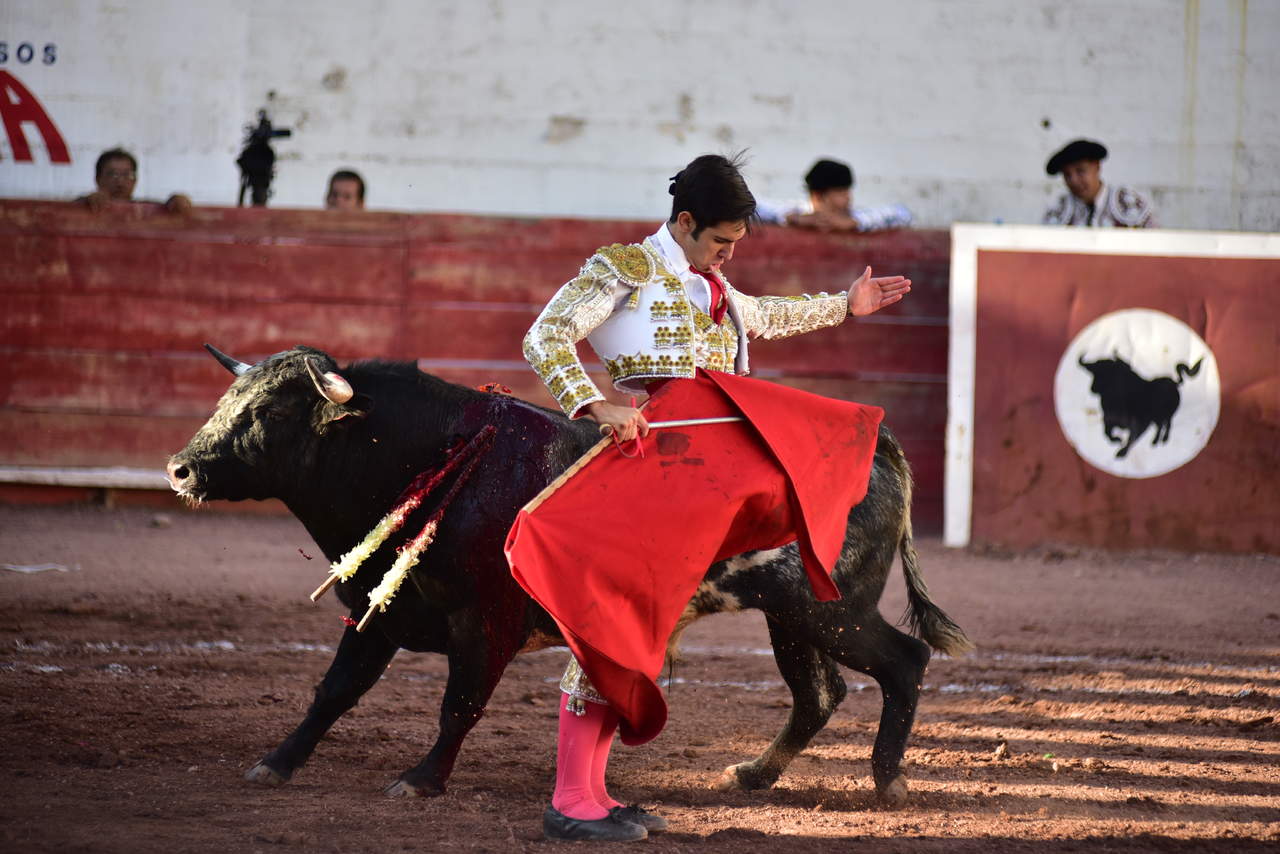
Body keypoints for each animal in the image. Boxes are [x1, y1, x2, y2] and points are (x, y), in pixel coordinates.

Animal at [167, 343, 967, 804]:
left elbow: (460, 704)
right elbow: (334, 691)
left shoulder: (484, 623)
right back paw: (752, 775)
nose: (179, 469)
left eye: (270, 411)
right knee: (819, 693)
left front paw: (421, 781)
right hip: (790, 614)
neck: (437, 458)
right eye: (226, 401)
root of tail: (875, 442)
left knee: (903, 661)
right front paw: (277, 762)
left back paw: (890, 781)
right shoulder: (378, 610)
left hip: (830, 608)